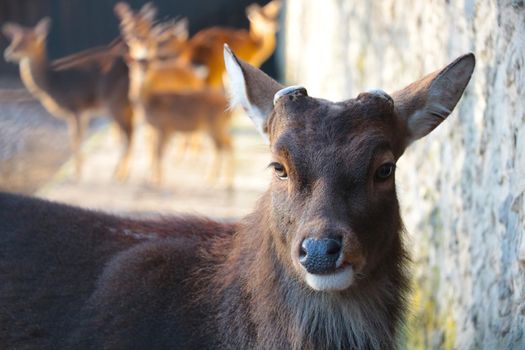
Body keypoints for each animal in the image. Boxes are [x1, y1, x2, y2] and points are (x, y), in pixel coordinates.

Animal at [2, 18, 133, 180]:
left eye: (29, 39)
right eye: (14, 40)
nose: (7, 53)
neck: (52, 83)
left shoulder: (75, 107)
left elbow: (75, 141)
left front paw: (77, 176)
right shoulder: (81, 113)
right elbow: (76, 141)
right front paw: (79, 172)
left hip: (116, 101)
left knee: (129, 133)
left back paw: (121, 174)